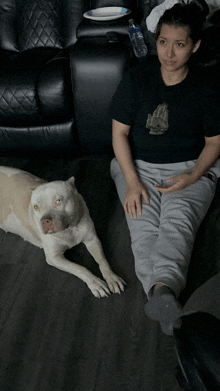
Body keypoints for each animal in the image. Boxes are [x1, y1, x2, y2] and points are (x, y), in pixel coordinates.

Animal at [0, 167, 125, 298]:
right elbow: (79, 268)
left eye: (59, 201)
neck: (69, 229)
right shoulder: (54, 257)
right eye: (36, 207)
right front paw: (96, 283)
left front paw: (112, 278)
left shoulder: (92, 240)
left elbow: (103, 261)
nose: (44, 221)